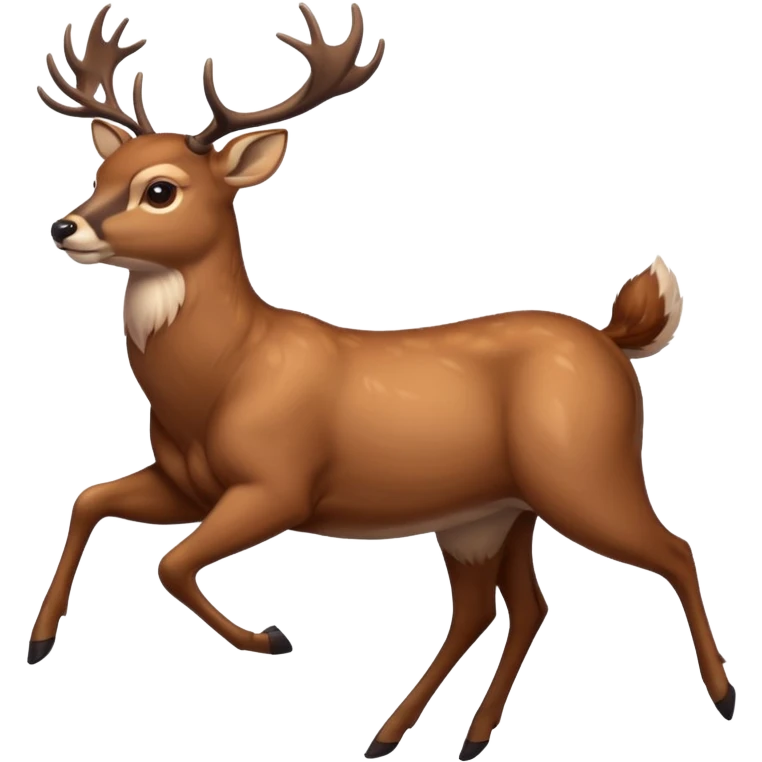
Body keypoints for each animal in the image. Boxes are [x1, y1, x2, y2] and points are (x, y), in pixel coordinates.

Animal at [33, 2, 735, 759]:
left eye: (159, 189)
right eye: (102, 171)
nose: (64, 225)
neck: (226, 374)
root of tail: (611, 339)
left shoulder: (278, 484)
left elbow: (171, 563)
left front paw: (271, 638)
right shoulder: (184, 483)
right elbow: (90, 501)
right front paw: (39, 641)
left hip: (585, 471)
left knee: (672, 552)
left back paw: (723, 697)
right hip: (490, 513)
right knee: (507, 605)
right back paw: (431, 735)